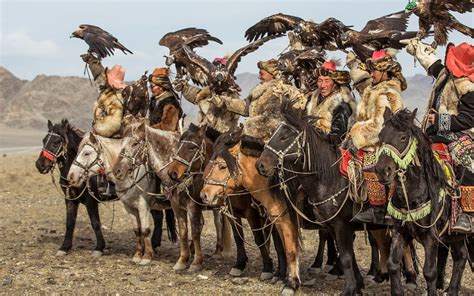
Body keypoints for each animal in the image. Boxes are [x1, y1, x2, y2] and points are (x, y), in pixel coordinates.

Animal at [66, 130, 176, 266]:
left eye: (87, 153)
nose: (71, 176)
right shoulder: (129, 206)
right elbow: (137, 230)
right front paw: (137, 255)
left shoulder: (143, 206)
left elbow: (145, 230)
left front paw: (146, 257)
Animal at [112, 121, 232, 272]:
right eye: (121, 142)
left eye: (135, 143)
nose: (117, 170)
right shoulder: (175, 207)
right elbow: (183, 232)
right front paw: (182, 261)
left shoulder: (192, 206)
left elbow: (194, 232)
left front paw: (196, 262)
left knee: (218, 223)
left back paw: (216, 251)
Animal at [168, 123, 276, 280]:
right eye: (179, 145)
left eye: (192, 147)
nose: (172, 173)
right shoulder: (232, 212)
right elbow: (238, 237)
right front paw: (239, 265)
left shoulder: (252, 213)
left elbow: (259, 238)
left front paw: (267, 267)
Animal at [254, 105, 416, 294]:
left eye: (284, 136)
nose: (260, 165)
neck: (329, 178)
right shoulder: (332, 226)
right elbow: (348, 256)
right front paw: (358, 285)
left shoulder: (341, 225)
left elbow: (345, 257)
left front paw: (349, 288)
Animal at [374, 108, 470, 296]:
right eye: (381, 135)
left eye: (403, 137)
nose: (382, 171)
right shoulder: (400, 231)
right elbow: (393, 265)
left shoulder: (430, 237)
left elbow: (429, 272)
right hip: (454, 235)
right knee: (461, 257)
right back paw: (452, 290)